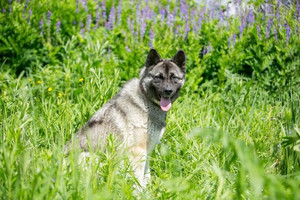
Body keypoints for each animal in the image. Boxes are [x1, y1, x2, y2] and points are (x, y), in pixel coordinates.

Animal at [67, 48, 186, 189]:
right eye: (158, 77)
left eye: (174, 78)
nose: (168, 91)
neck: (146, 101)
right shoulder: (137, 152)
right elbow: (138, 179)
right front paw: (139, 192)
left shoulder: (147, 151)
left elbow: (146, 176)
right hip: (91, 157)